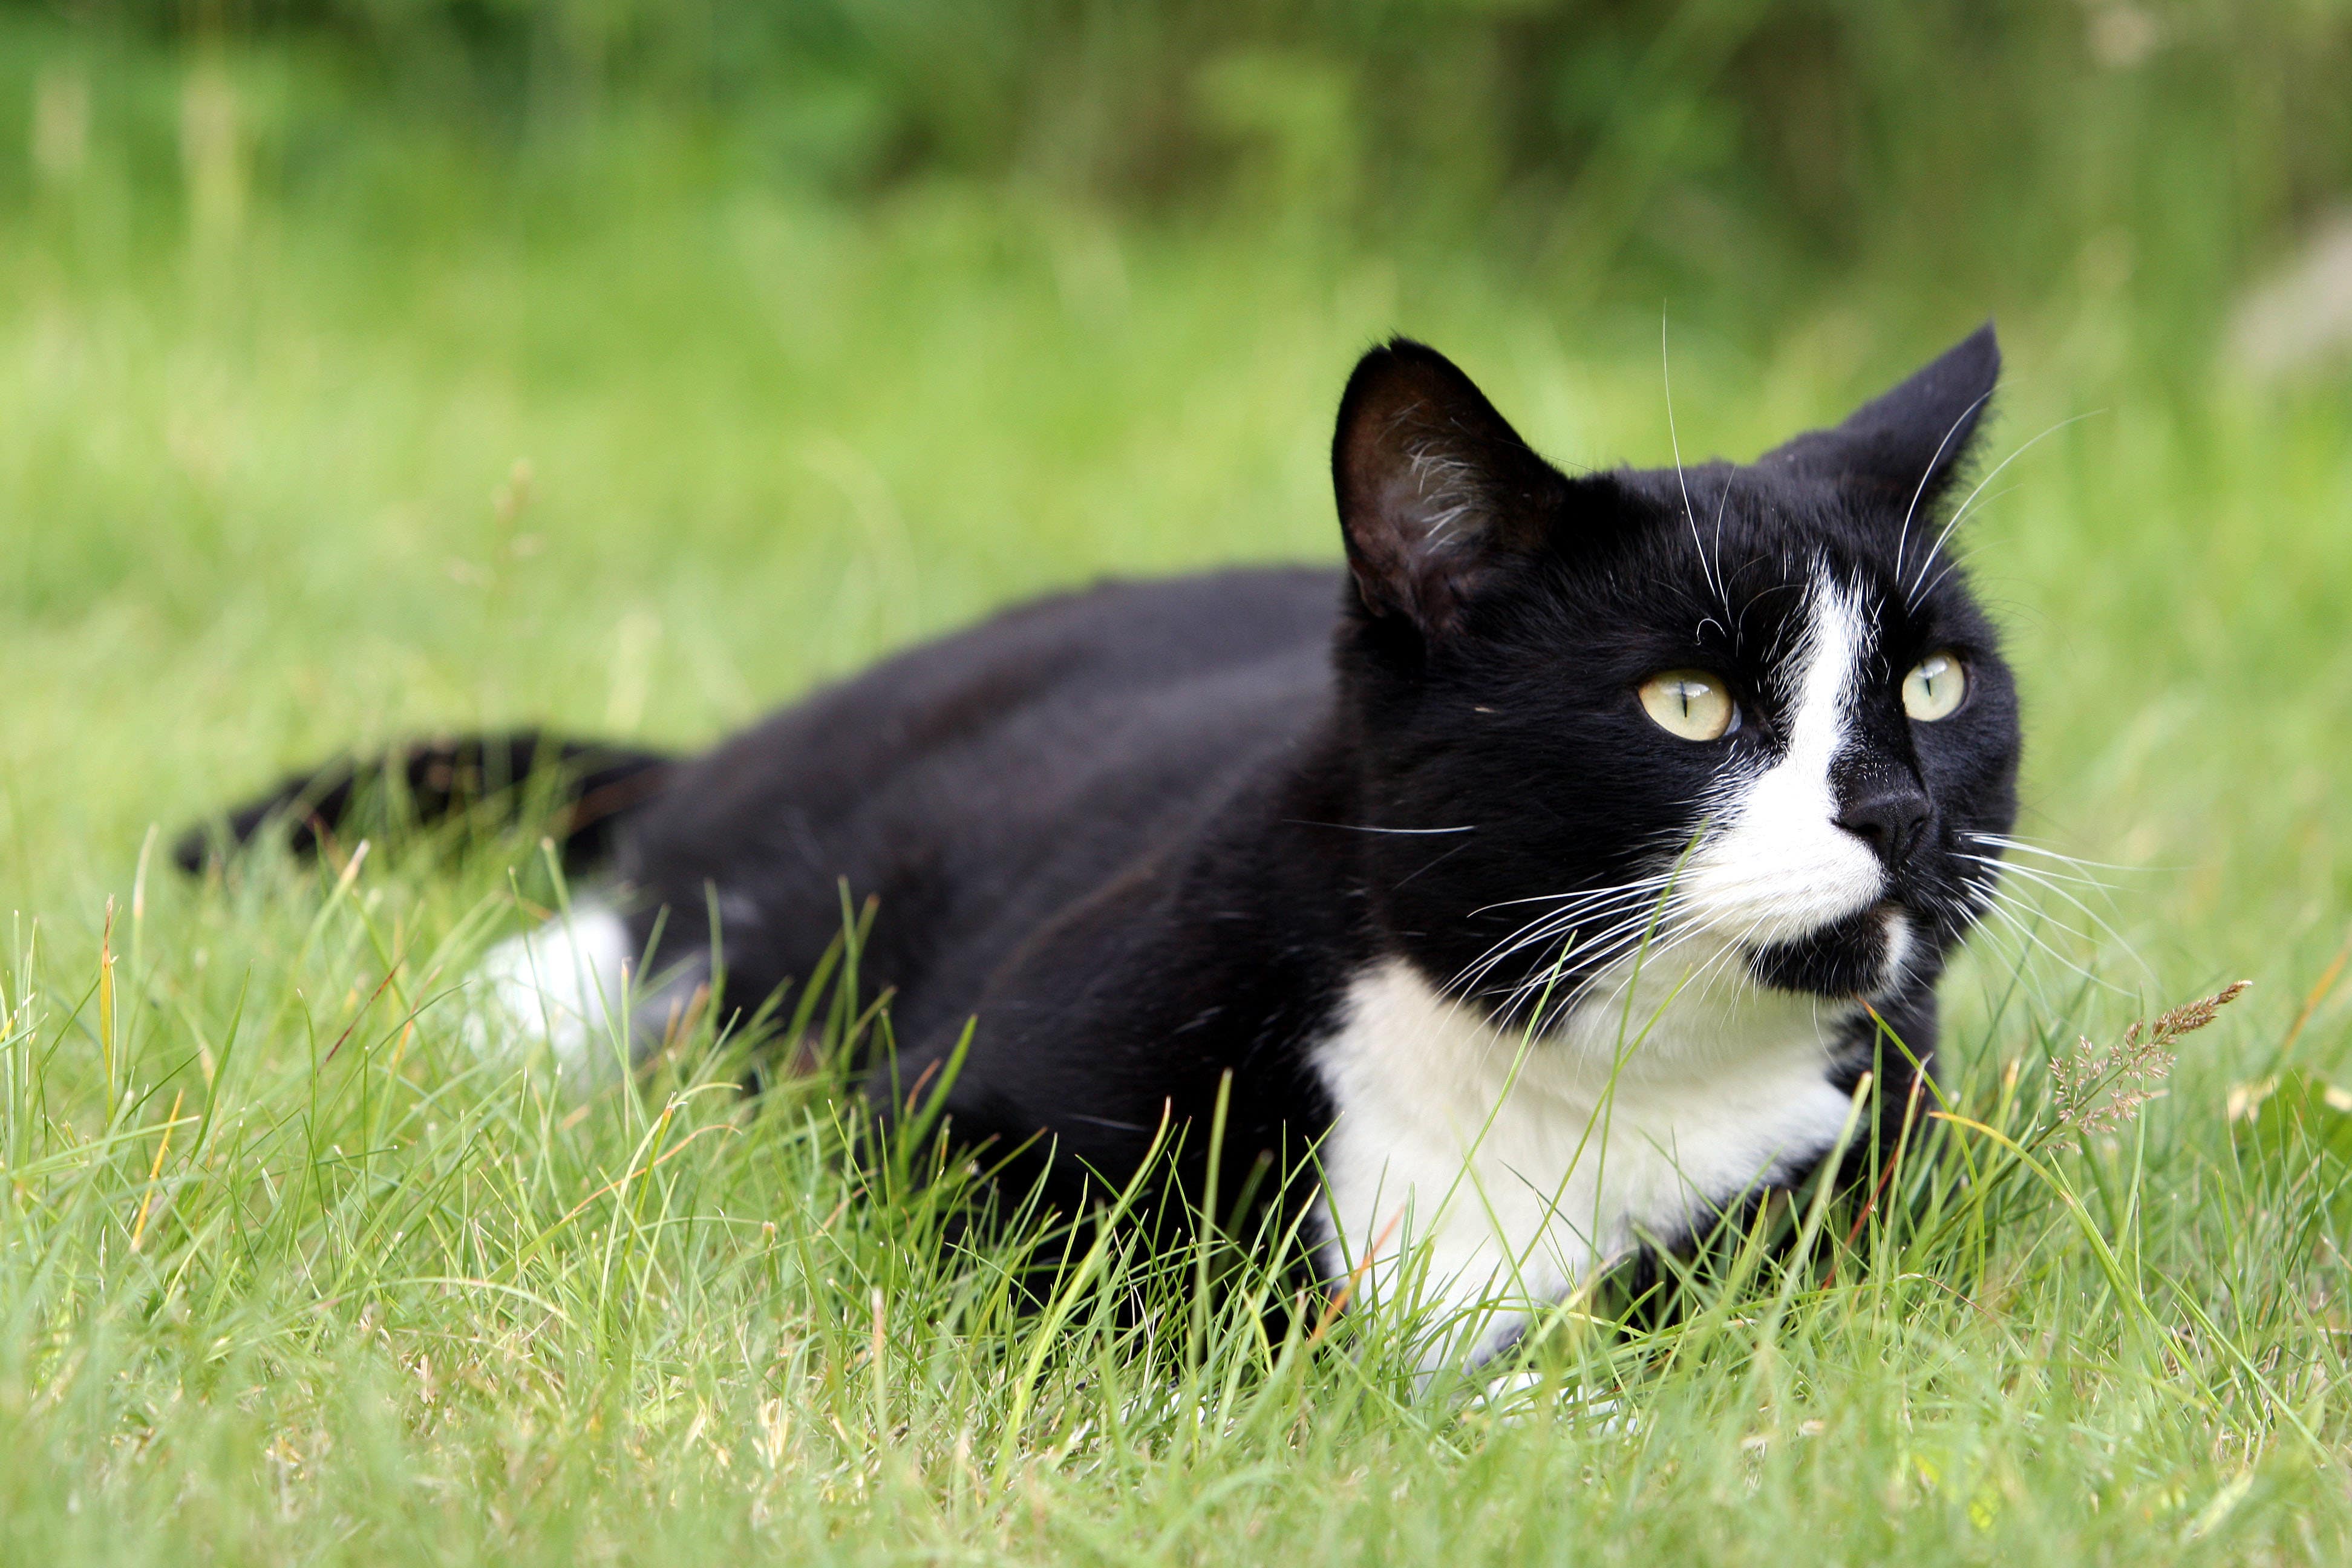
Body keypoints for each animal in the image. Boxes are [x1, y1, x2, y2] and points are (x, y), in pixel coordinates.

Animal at [183, 331, 2022, 1373]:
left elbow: (1667, 1322)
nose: (1896, 806)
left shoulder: (1848, 1204)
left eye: (1933, 684)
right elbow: (1179, 1299)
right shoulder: (961, 1129)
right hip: (713, 920)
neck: (1562, 1082)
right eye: (1689, 703)